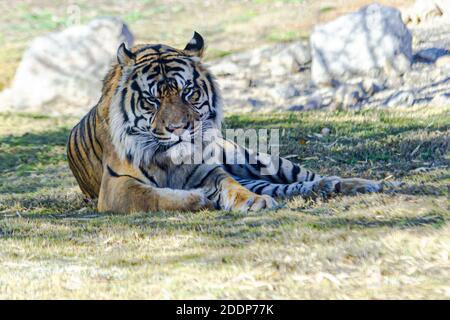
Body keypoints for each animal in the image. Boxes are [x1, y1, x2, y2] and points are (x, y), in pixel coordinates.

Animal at [67, 32, 384, 214]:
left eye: (188, 92)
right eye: (152, 100)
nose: (179, 129)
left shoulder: (210, 170)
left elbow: (232, 186)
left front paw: (252, 202)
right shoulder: (116, 187)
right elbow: (154, 197)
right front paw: (199, 199)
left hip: (255, 157)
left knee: (302, 177)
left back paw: (363, 184)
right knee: (285, 187)